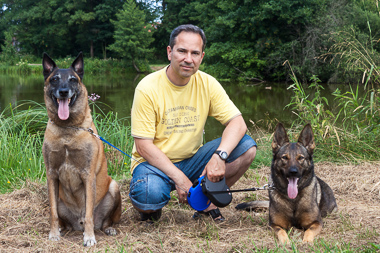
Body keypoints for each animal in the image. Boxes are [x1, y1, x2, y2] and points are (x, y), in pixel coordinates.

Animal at [42, 52, 121, 246]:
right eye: (54, 79)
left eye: (73, 80)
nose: (64, 91)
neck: (68, 129)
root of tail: (77, 223)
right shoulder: (51, 175)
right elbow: (53, 213)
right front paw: (53, 233)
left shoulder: (88, 175)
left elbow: (89, 213)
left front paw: (89, 237)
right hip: (59, 198)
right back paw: (63, 228)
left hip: (114, 186)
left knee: (104, 220)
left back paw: (107, 228)